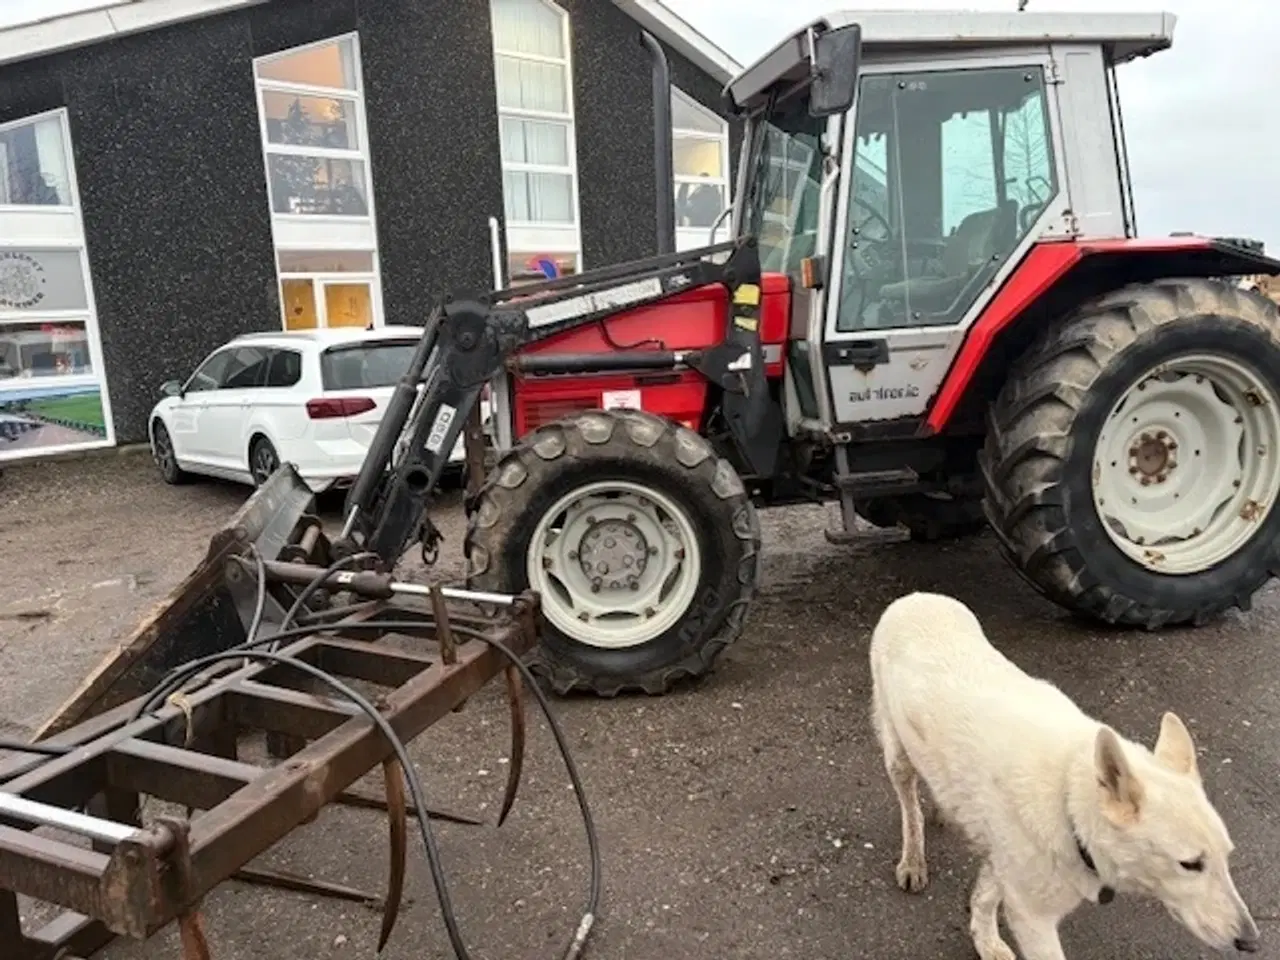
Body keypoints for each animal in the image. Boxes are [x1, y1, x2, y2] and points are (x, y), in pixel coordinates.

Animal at [870, 591, 1259, 957]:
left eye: (1227, 857)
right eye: (1190, 864)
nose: (1251, 941)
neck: (1069, 801)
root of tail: (917, 597)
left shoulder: (1009, 870)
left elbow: (984, 898)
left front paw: (985, 941)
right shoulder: (1033, 918)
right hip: (897, 756)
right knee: (910, 807)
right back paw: (913, 858)